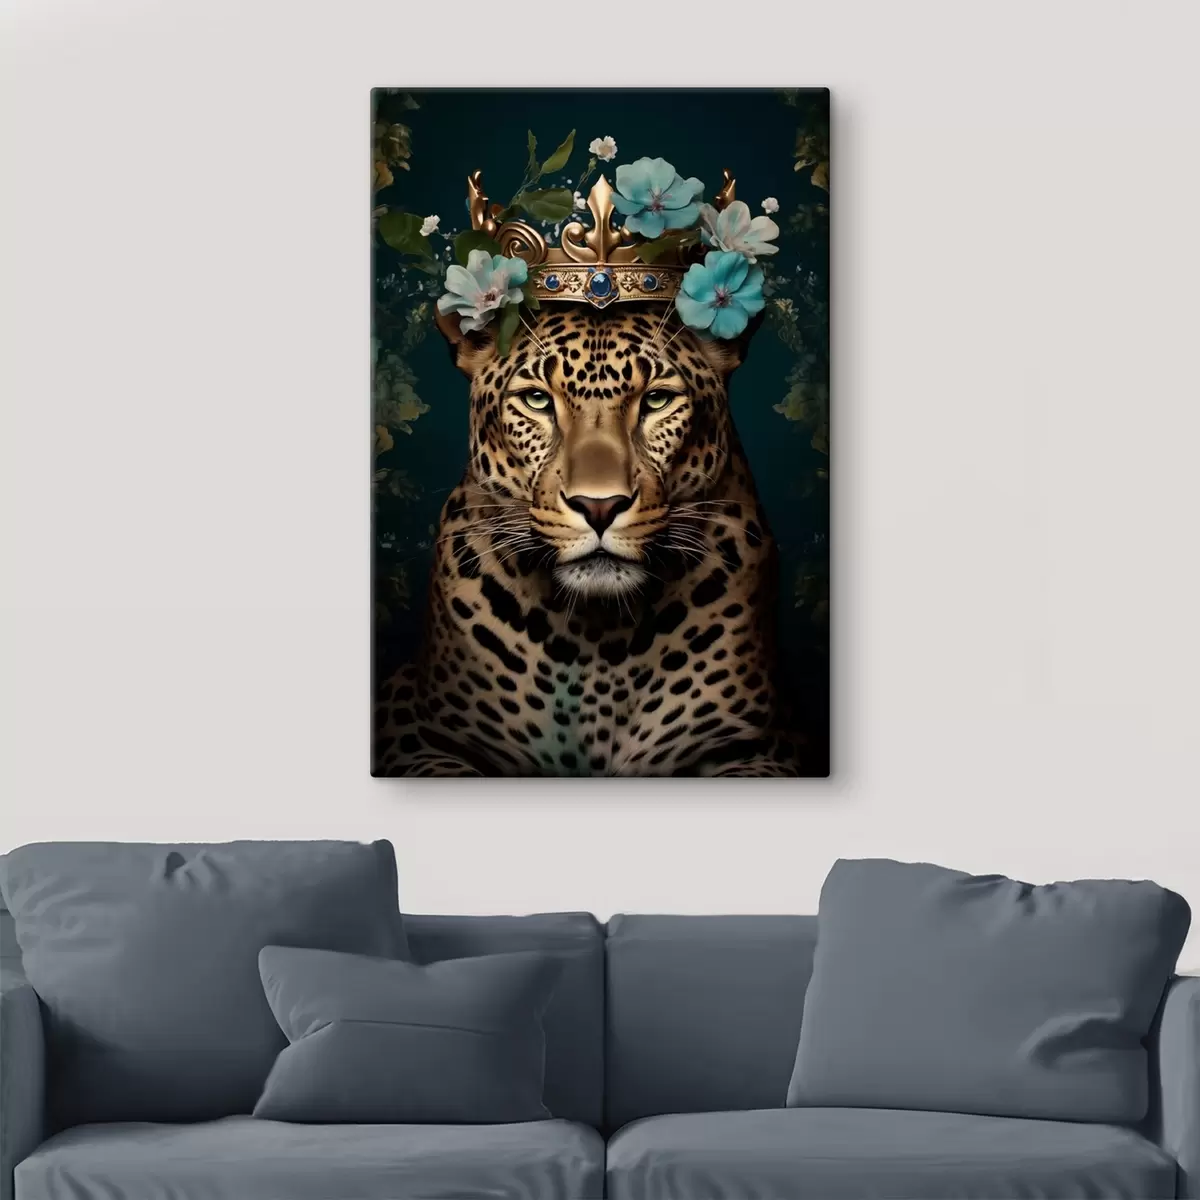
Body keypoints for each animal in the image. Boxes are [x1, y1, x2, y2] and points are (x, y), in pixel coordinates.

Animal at [372, 300, 801, 777]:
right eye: (537, 400)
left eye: (657, 400)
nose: (599, 507)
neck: (599, 636)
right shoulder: (417, 731)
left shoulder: (759, 746)